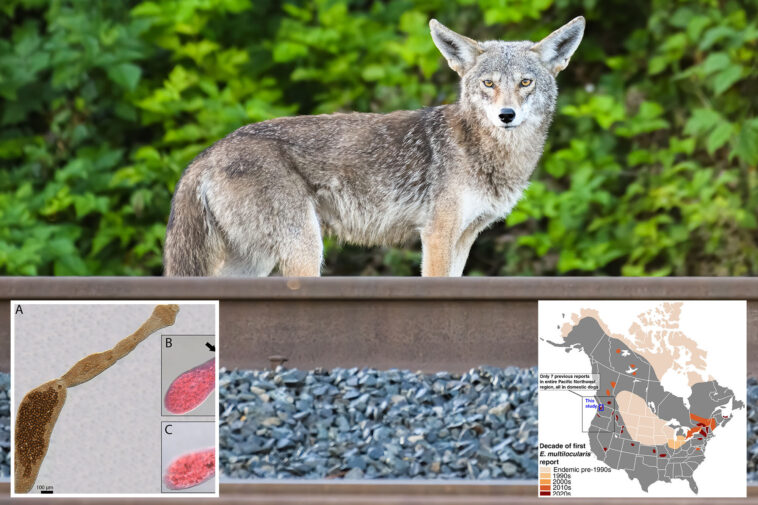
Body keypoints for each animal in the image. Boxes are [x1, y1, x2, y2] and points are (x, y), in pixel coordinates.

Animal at [164, 16, 585, 277]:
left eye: (526, 82)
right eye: (489, 84)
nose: (506, 115)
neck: (486, 153)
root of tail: (207, 153)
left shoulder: (465, 237)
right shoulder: (436, 235)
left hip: (260, 258)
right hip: (304, 249)